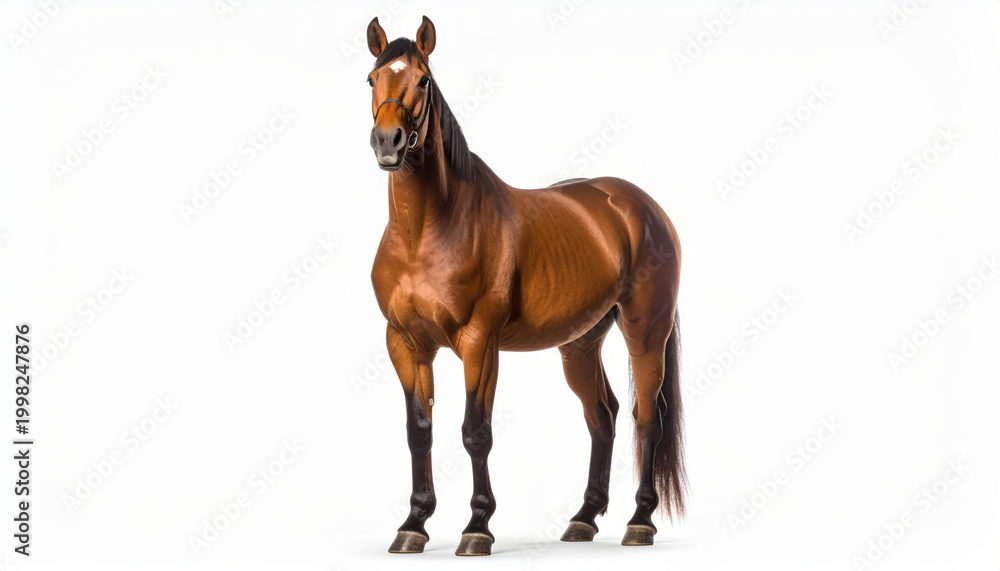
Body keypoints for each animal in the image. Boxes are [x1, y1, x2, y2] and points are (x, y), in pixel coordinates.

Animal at [364, 16, 685, 556]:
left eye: (423, 81)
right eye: (372, 79)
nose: (388, 141)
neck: (426, 233)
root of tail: (642, 206)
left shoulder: (479, 343)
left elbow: (476, 432)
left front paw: (477, 527)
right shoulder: (405, 343)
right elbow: (418, 431)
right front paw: (413, 525)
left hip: (645, 334)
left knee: (646, 417)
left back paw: (639, 522)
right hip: (580, 344)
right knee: (603, 415)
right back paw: (583, 519)